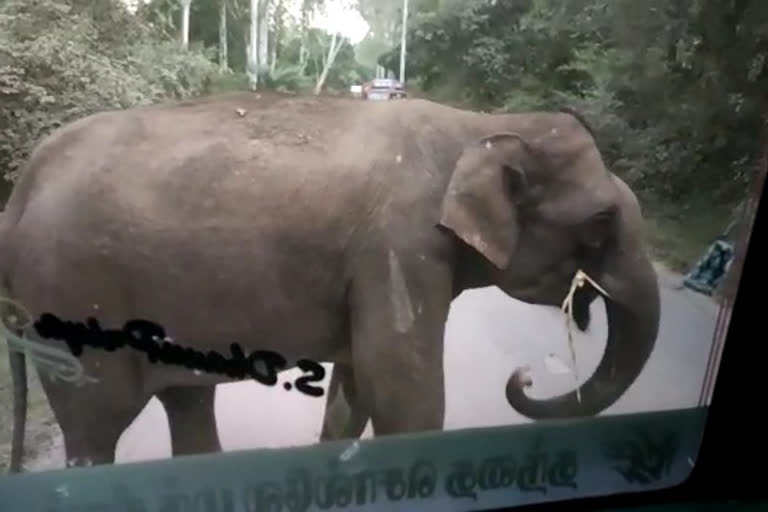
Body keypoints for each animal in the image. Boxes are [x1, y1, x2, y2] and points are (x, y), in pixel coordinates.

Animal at [1, 93, 660, 472]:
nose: (523, 376)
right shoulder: (400, 247)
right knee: (96, 428)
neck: (481, 126)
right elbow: (405, 395)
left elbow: (358, 386)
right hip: (71, 300)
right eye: (601, 222)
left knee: (186, 401)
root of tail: (19, 191)